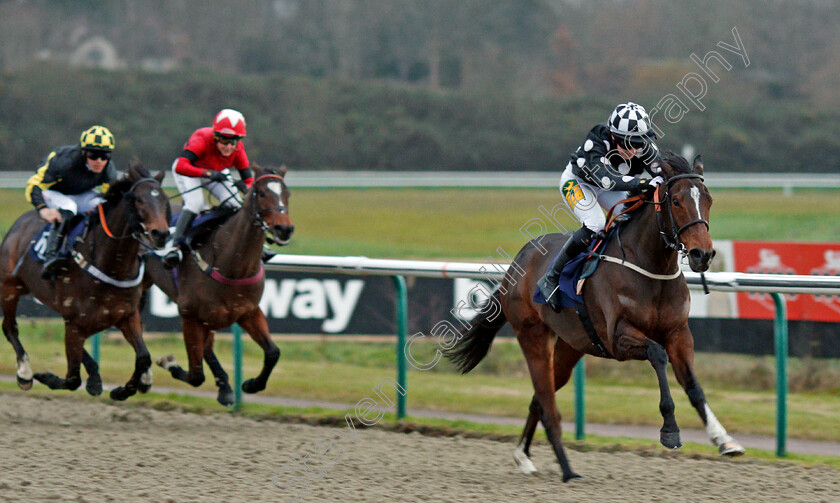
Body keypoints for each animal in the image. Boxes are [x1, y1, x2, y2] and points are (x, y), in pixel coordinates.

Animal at [0, 161, 171, 402]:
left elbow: (144, 357)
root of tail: (18, 224)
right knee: (9, 327)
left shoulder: (126, 315)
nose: (161, 234)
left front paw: (123, 389)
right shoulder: (76, 323)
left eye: (164, 200)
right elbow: (72, 378)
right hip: (9, 287)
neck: (110, 264)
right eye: (139, 199)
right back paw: (25, 373)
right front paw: (45, 377)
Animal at [147, 165, 296, 406]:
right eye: (262, 193)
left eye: (287, 194)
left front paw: (251, 384)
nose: (285, 228)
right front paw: (169, 363)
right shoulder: (190, 315)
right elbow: (196, 375)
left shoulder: (248, 311)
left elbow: (273, 352)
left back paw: (225, 387)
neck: (231, 264)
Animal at [442, 155, 744, 484]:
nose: (703, 254)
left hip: (570, 346)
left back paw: (523, 455)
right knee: (547, 402)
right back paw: (567, 470)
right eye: (676, 201)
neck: (650, 266)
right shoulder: (618, 338)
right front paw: (670, 431)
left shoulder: (678, 333)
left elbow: (693, 385)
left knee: (540, 397)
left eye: (708, 199)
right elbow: (657, 354)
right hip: (532, 334)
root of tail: (514, 267)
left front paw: (724, 440)